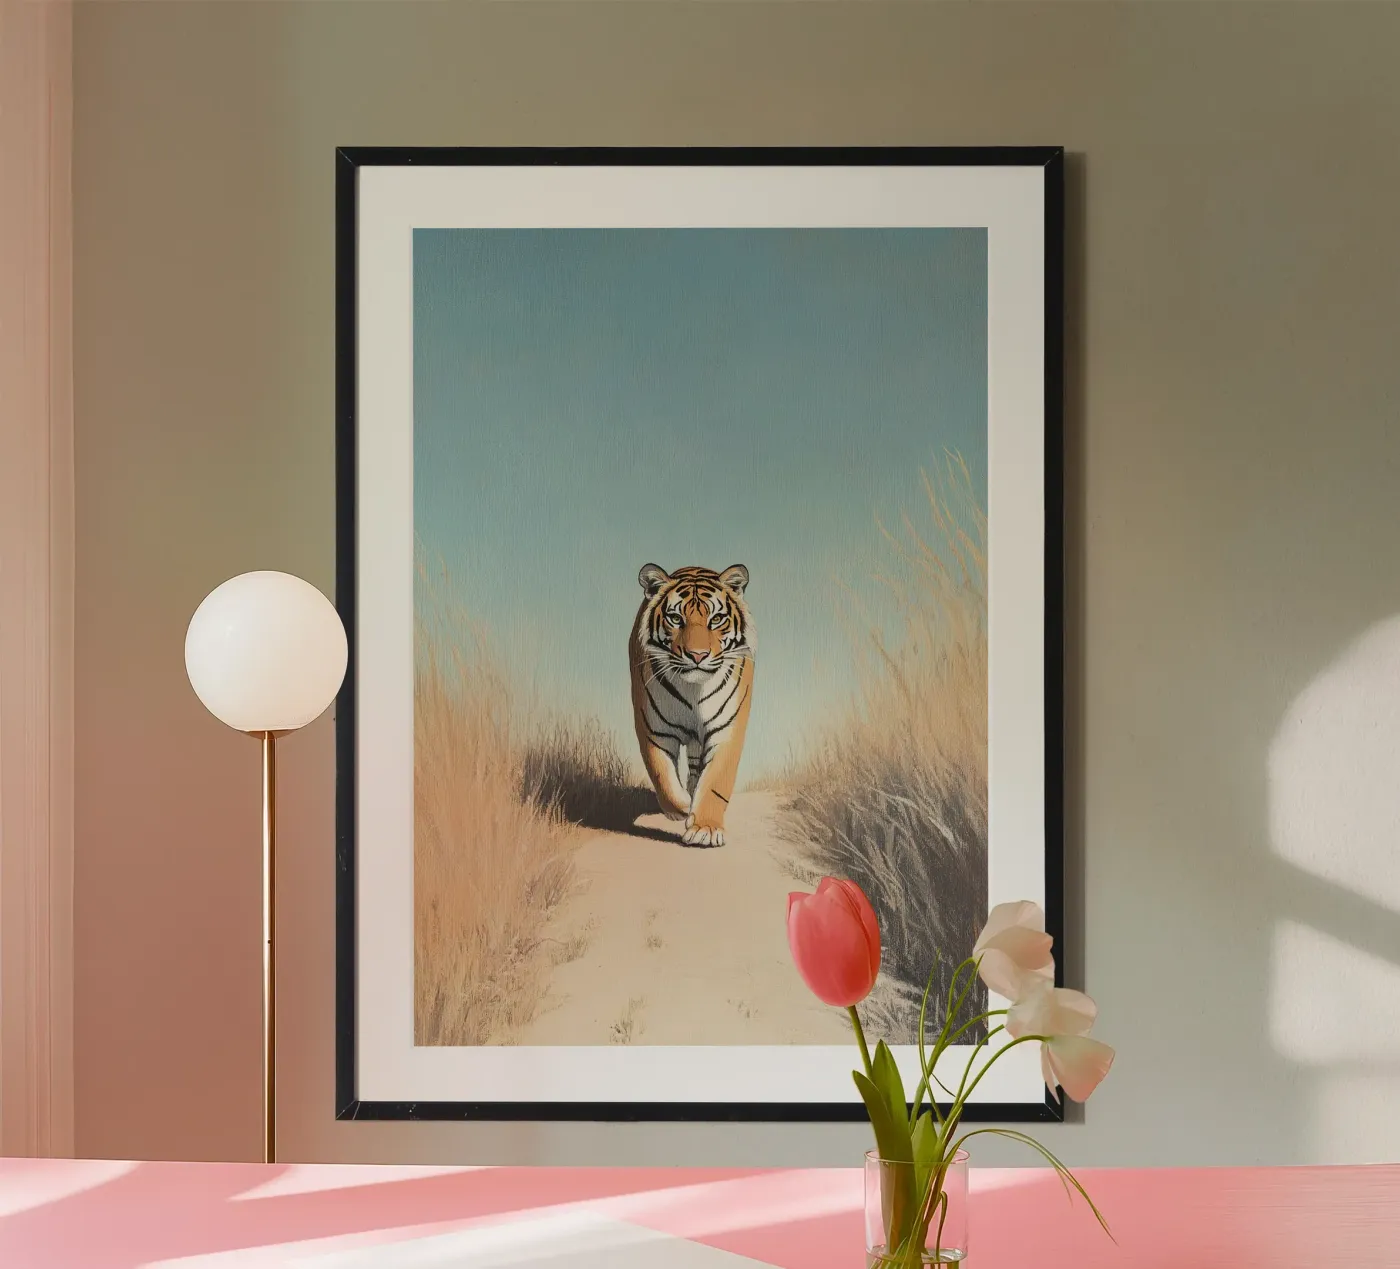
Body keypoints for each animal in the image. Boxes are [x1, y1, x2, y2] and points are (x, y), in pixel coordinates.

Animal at [629, 563, 755, 847]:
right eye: (676, 619)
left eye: (716, 619)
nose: (697, 655)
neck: (694, 689)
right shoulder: (654, 730)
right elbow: (662, 776)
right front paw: (684, 808)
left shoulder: (726, 731)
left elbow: (715, 781)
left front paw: (705, 828)